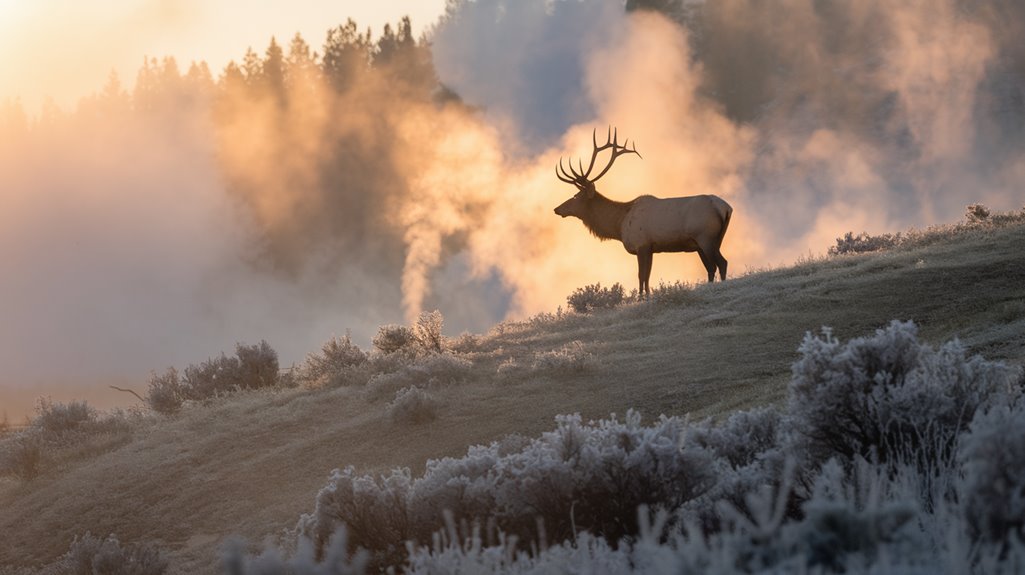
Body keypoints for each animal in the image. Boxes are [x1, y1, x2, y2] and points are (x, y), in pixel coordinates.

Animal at [554, 127, 733, 296]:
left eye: (576, 196)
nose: (557, 209)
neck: (619, 225)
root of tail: (726, 207)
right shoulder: (651, 247)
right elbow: (647, 276)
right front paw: (647, 296)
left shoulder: (641, 244)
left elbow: (641, 275)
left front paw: (640, 297)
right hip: (708, 241)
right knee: (711, 267)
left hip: (705, 237)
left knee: (720, 263)